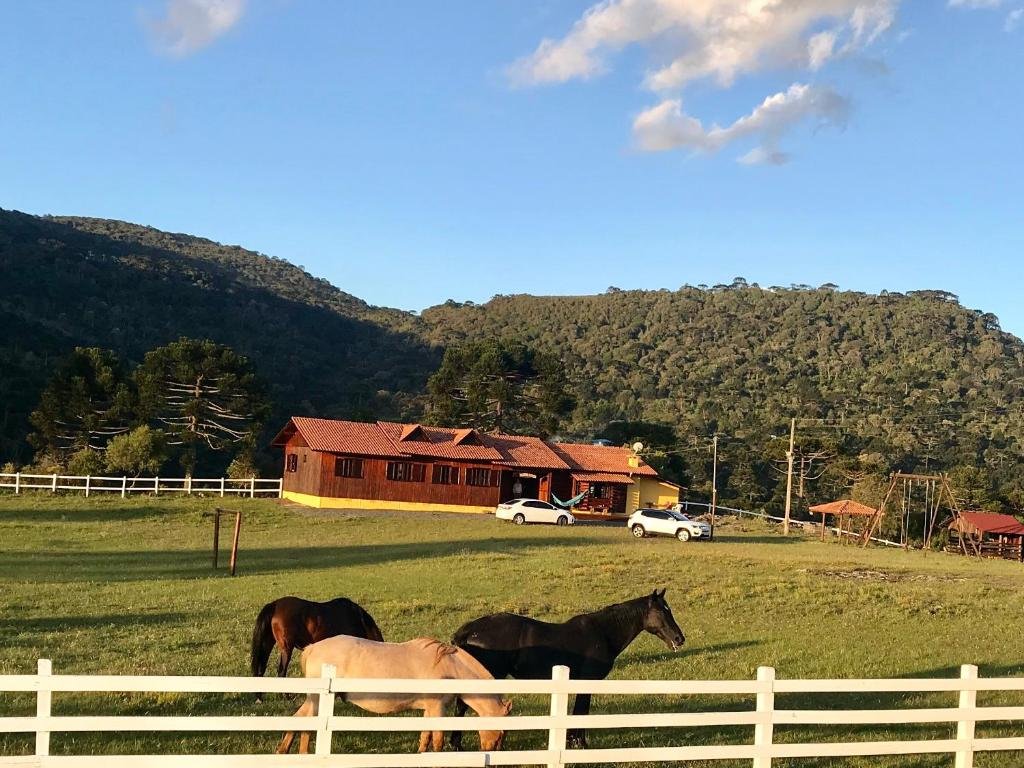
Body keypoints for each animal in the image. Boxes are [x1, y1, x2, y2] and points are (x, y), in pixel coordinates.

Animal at [250, 598, 385, 684]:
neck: (358, 619)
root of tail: (275, 605)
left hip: (268, 643)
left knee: (261, 668)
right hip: (286, 647)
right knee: (281, 672)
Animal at [276, 634, 512, 753]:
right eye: (501, 732)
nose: (493, 752)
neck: (449, 666)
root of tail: (312, 648)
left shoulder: (429, 709)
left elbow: (425, 738)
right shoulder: (438, 708)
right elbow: (437, 741)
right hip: (317, 700)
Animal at [452, 593, 684, 749]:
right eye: (662, 611)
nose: (679, 638)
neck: (603, 633)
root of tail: (471, 629)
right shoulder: (587, 682)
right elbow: (581, 711)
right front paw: (579, 743)